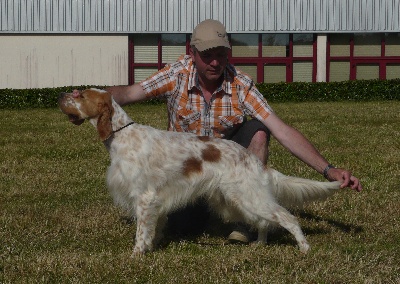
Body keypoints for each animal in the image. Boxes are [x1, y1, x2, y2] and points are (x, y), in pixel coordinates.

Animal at [58, 88, 340, 255]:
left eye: (80, 96)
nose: (61, 95)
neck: (122, 135)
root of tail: (254, 161)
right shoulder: (156, 201)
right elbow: (153, 229)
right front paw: (152, 247)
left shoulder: (144, 197)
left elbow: (141, 231)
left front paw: (137, 255)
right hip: (239, 199)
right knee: (264, 222)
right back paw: (260, 243)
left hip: (249, 196)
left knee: (287, 218)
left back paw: (304, 248)